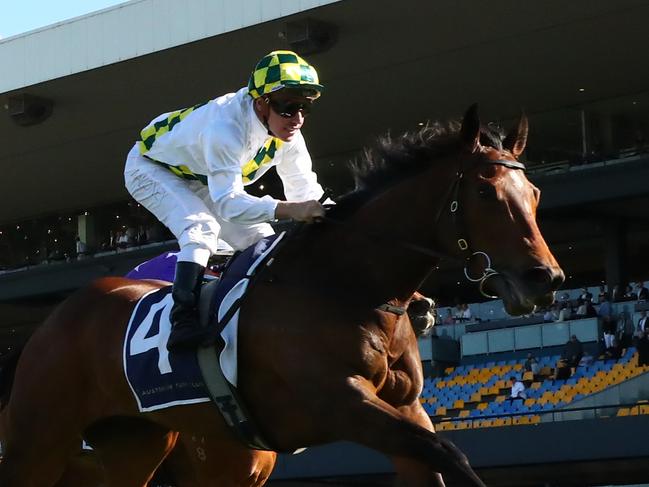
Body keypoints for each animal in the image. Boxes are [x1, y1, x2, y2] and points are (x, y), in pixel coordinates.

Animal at [0, 104, 560, 487]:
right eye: (484, 192)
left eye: (534, 194)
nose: (545, 278)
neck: (343, 284)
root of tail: (51, 321)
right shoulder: (342, 403)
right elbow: (452, 456)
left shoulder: (405, 408)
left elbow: (440, 458)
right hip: (39, 439)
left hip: (133, 442)